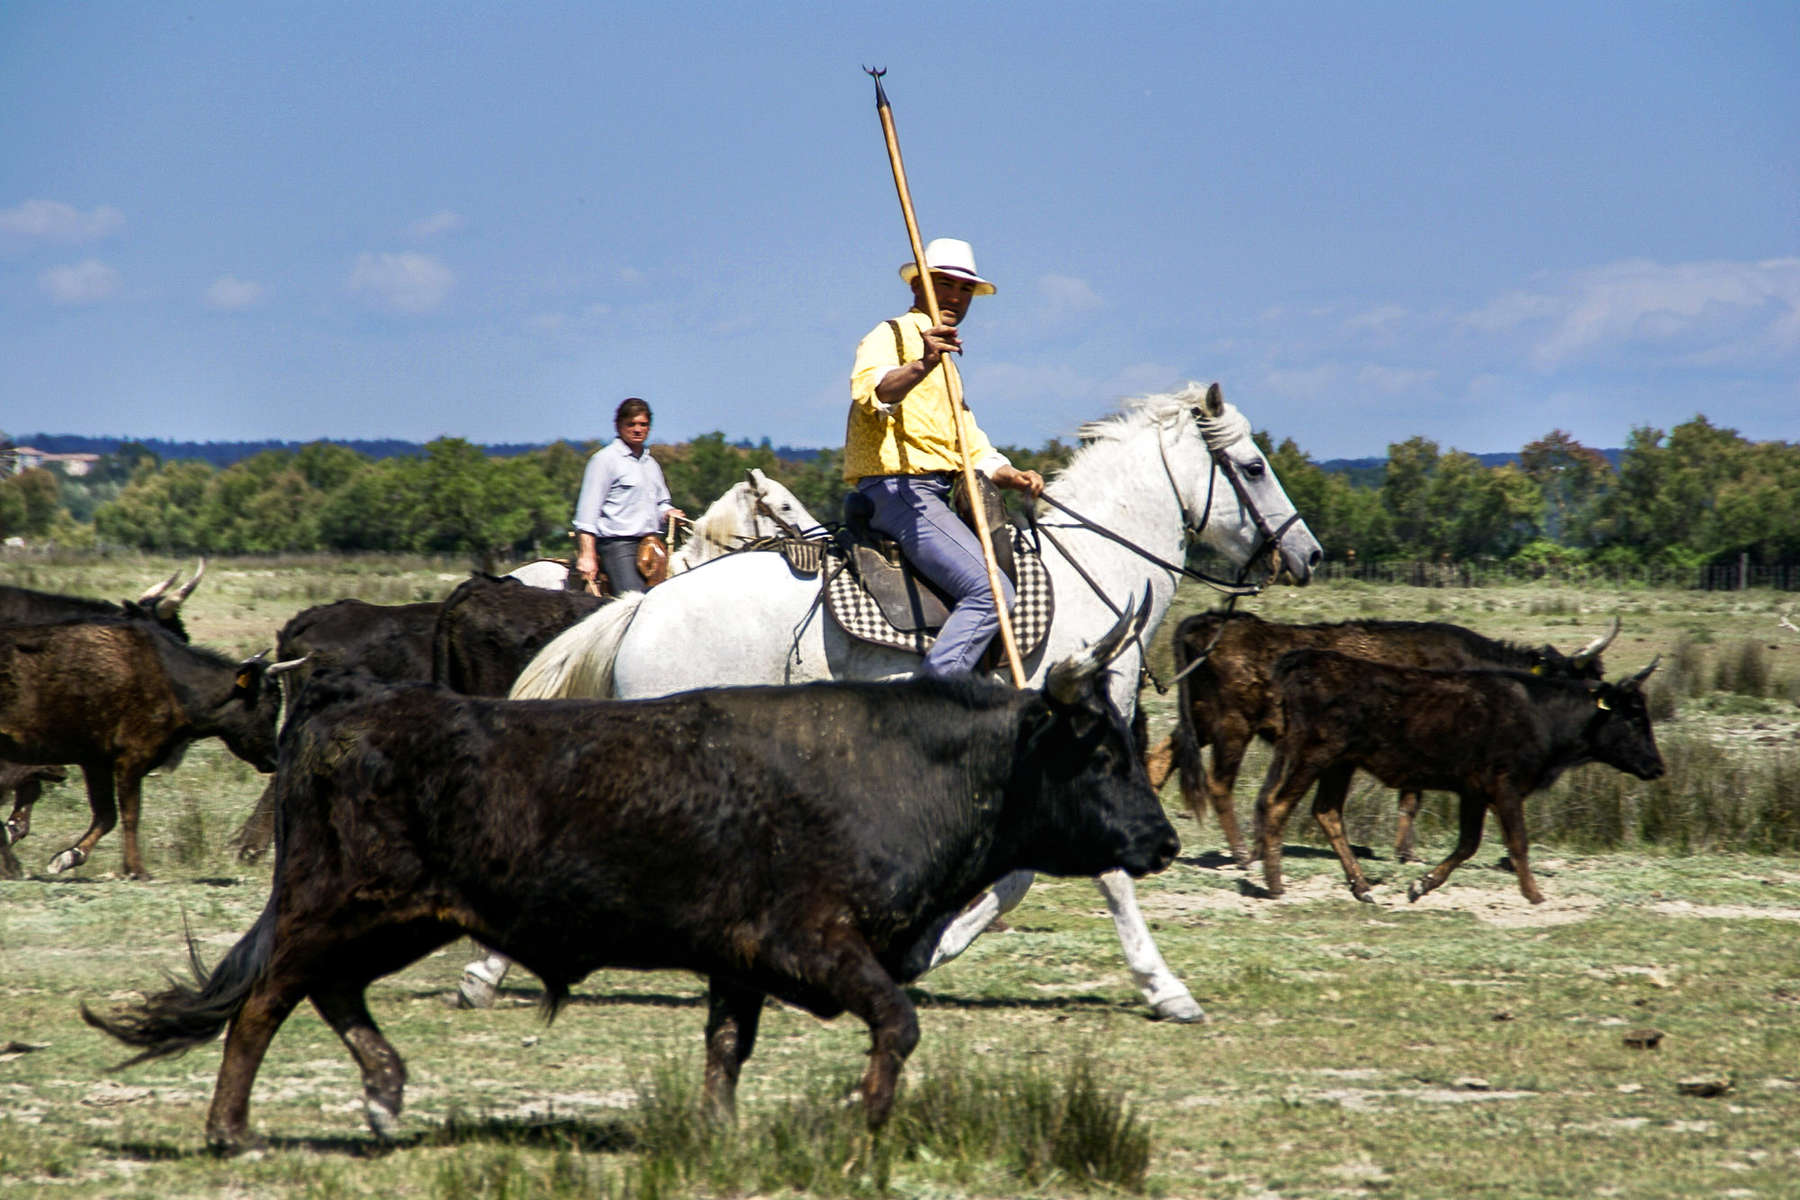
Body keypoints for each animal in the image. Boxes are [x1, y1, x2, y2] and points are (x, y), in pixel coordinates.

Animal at [87, 647, 1180, 1144]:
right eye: (1099, 754)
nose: (1163, 840)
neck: (907, 767)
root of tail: (337, 712)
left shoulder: (740, 961)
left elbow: (726, 1049)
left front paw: (719, 1134)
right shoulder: (816, 943)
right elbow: (898, 1023)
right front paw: (862, 1115)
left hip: (396, 918)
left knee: (328, 992)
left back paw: (386, 1096)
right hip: (342, 905)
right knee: (267, 1002)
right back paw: (231, 1130)